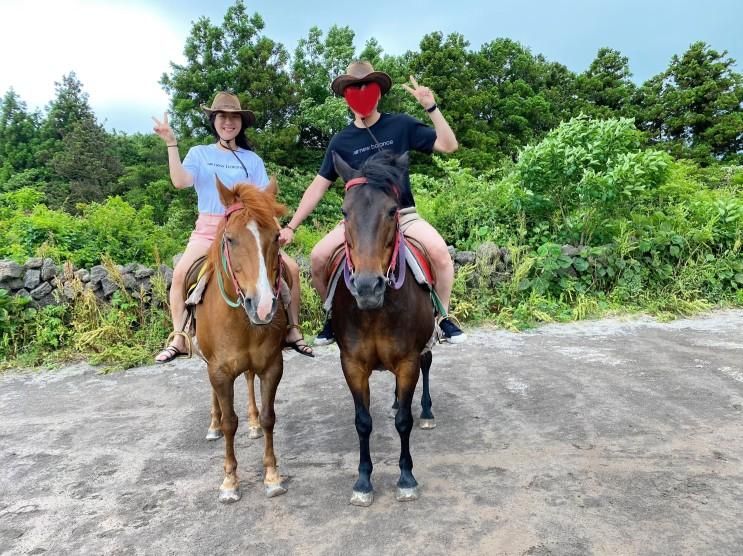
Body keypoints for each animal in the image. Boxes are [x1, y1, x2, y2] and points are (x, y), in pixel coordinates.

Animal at [195, 179, 290, 504]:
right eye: (230, 239)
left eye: (277, 237)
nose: (262, 306)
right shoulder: (218, 372)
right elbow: (229, 422)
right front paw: (229, 482)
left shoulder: (272, 366)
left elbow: (270, 417)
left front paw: (272, 476)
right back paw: (211, 426)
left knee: (248, 381)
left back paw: (252, 423)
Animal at [330, 150, 436, 506]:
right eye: (344, 212)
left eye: (391, 210)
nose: (367, 286)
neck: (375, 312)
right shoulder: (352, 364)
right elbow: (363, 422)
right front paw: (363, 481)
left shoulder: (408, 361)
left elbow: (404, 421)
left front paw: (406, 478)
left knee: (428, 364)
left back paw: (427, 412)